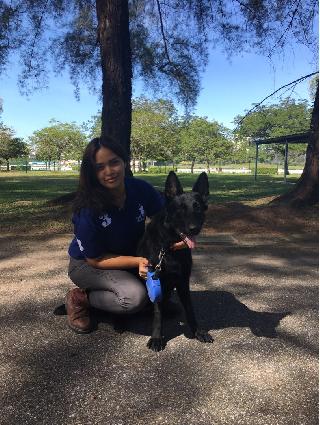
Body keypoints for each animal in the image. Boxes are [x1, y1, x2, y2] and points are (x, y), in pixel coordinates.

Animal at [139, 171, 214, 350]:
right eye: (180, 209)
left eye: (197, 207)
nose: (194, 229)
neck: (168, 247)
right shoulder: (156, 280)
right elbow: (157, 313)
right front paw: (156, 337)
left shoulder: (183, 282)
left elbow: (190, 309)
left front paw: (197, 331)